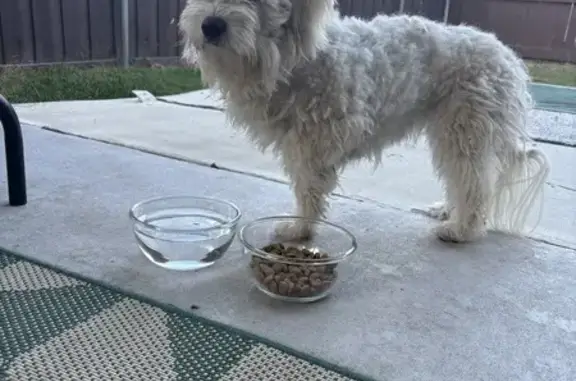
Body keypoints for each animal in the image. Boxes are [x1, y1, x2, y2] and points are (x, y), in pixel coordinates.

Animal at [179, 0, 548, 242]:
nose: (210, 25)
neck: (290, 57)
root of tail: (506, 56)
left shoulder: (315, 140)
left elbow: (308, 186)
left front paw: (300, 229)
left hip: (464, 128)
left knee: (476, 181)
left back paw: (462, 229)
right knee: (466, 177)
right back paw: (449, 210)